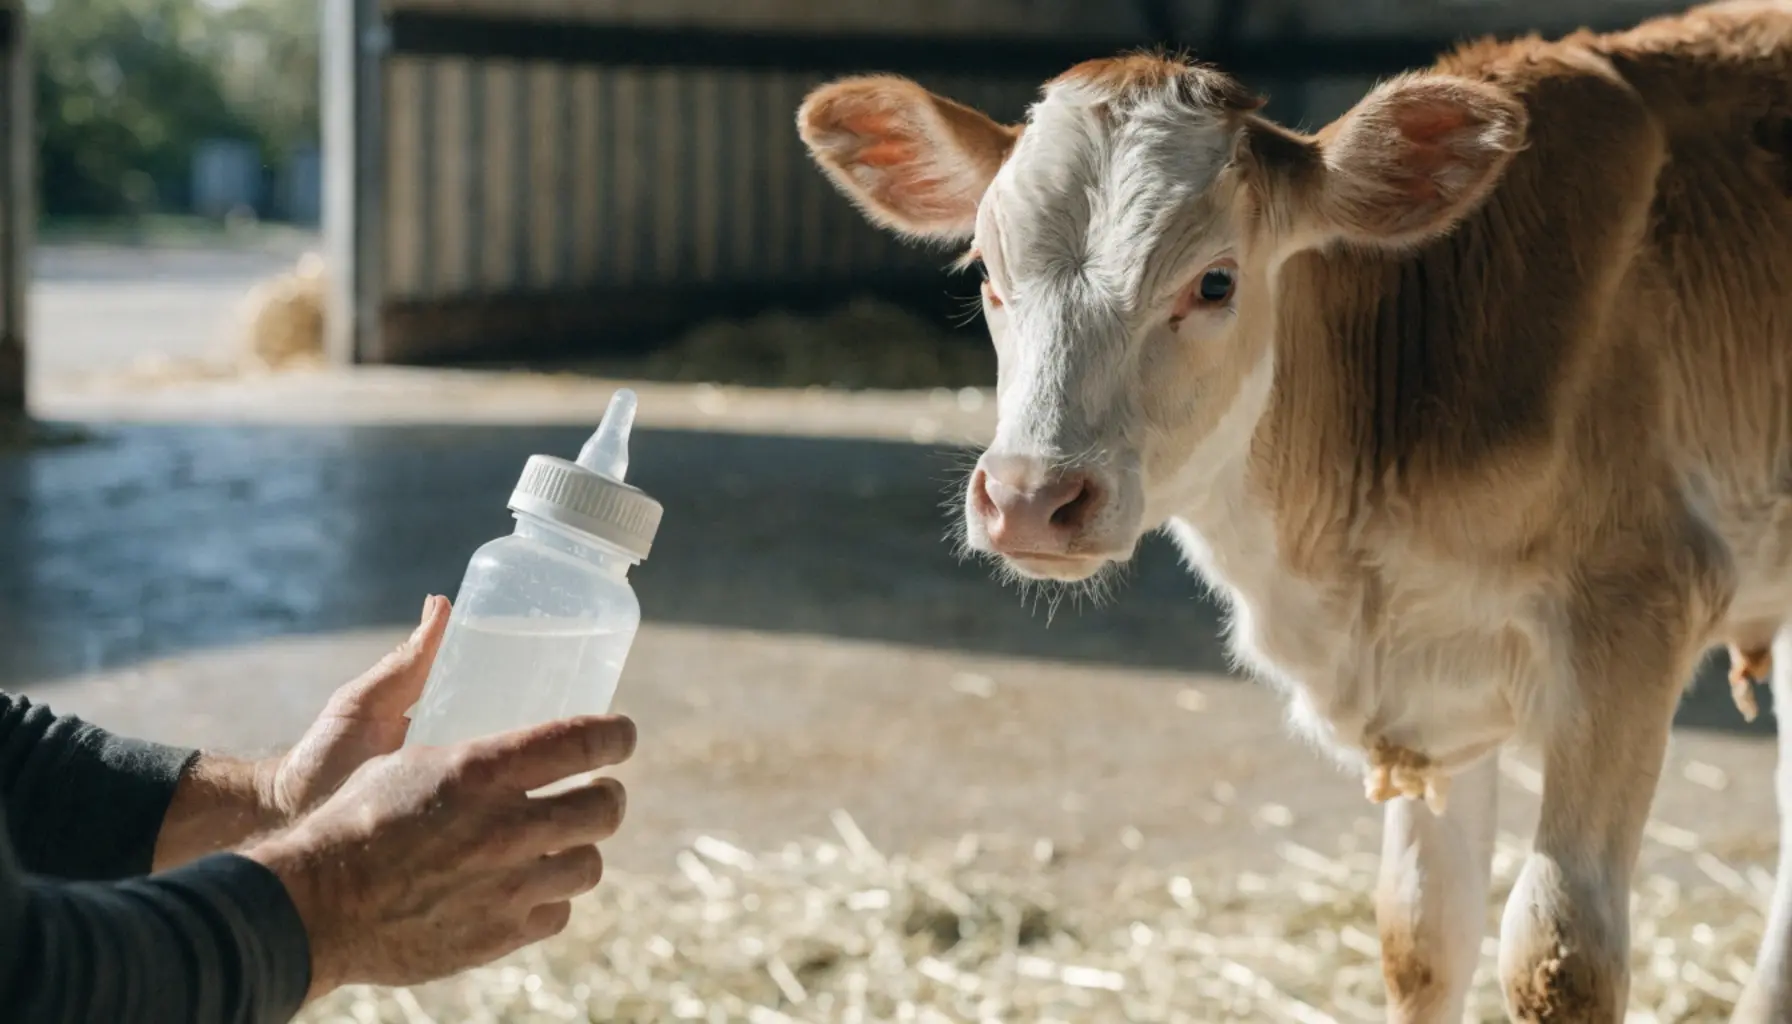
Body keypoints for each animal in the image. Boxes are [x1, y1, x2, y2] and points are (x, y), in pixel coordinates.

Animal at [797, 2, 1792, 1021]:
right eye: (986, 271)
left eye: (1216, 281)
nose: (1032, 498)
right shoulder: (1431, 680)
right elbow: (1421, 935)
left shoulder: (1632, 623)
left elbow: (1561, 955)